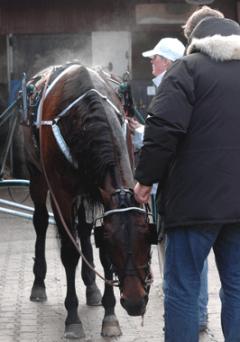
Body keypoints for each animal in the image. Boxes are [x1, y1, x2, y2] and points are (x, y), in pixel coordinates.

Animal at [22, 62, 154, 338]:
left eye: (148, 239)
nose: (135, 302)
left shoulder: (103, 194)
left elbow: (99, 251)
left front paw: (110, 315)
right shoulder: (61, 194)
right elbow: (70, 253)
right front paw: (72, 318)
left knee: (83, 229)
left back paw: (92, 287)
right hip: (37, 175)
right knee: (40, 222)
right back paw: (38, 283)